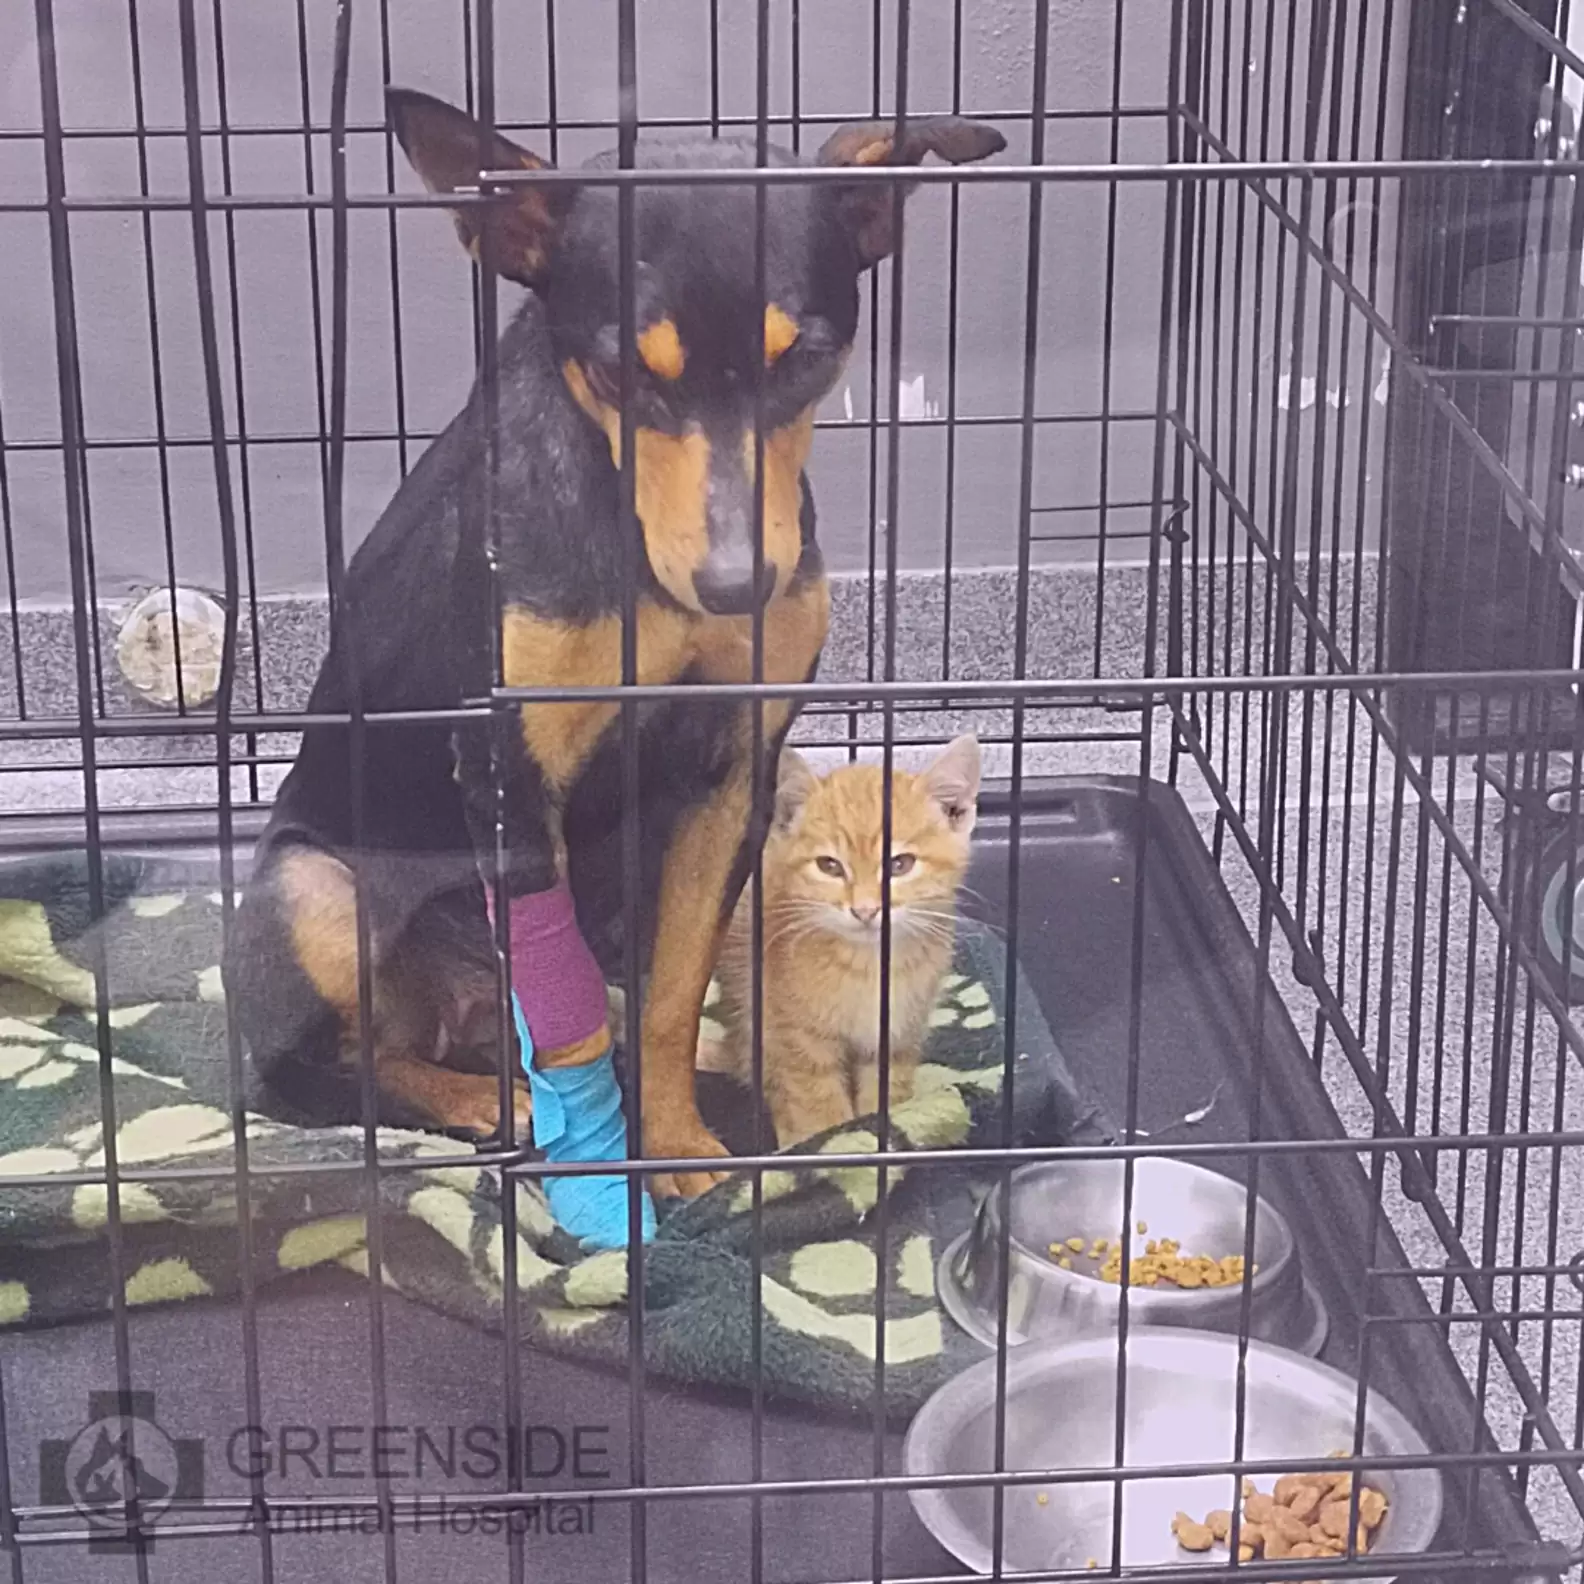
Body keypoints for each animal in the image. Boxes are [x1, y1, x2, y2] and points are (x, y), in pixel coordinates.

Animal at [715, 728, 975, 1153]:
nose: (865, 910)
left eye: (900, 864)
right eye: (829, 866)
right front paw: (837, 1148)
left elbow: (885, 1094)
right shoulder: (795, 1036)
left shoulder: (897, 1033)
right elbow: (816, 1103)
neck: (868, 965)